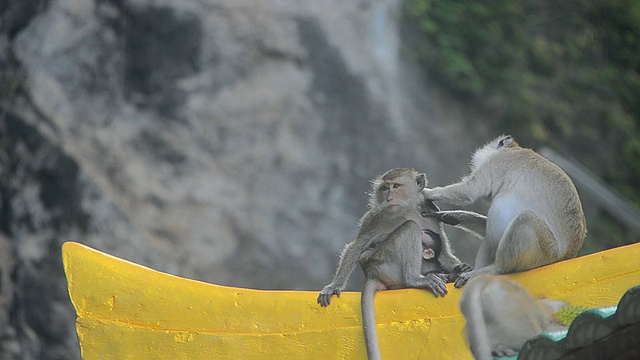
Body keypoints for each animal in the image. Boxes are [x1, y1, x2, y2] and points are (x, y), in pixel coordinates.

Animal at [318, 168, 482, 360]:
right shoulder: (375, 216)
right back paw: (416, 279)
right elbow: (357, 245)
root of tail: (372, 274)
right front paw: (334, 286)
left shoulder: (430, 213)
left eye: (396, 186)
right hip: (385, 263)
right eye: (384, 188)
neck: (406, 209)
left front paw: (461, 269)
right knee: (410, 227)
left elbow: (442, 252)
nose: (389, 198)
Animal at [422, 134, 588, 288]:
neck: (514, 149)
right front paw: (452, 216)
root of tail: (565, 256)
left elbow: (470, 191)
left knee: (525, 219)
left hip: (546, 252)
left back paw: (494, 270)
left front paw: (427, 192)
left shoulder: (496, 162)